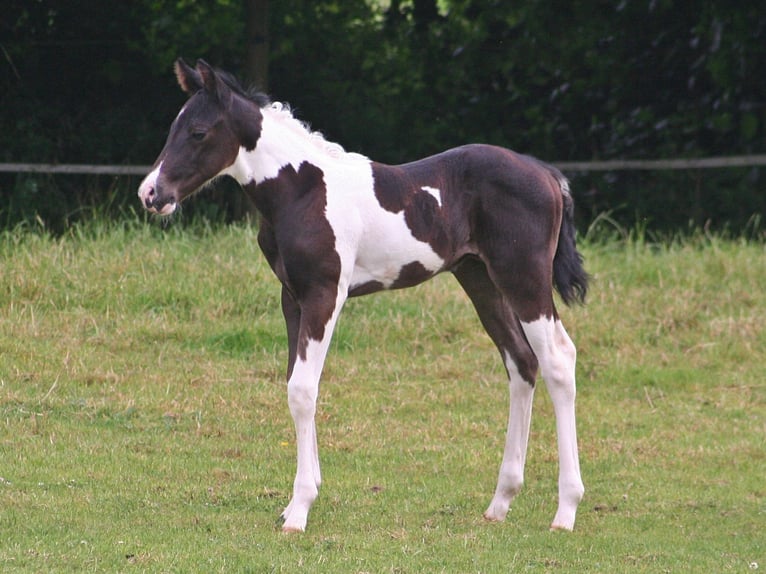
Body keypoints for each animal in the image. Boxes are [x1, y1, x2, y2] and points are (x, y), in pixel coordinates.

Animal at [138, 59, 589, 533]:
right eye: (174, 127)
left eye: (198, 132)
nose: (150, 193)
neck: (302, 190)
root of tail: (546, 174)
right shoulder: (292, 298)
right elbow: (296, 383)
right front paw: (301, 495)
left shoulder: (325, 295)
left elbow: (302, 389)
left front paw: (300, 508)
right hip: (481, 280)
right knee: (521, 362)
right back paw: (500, 502)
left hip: (523, 279)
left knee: (559, 360)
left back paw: (565, 510)